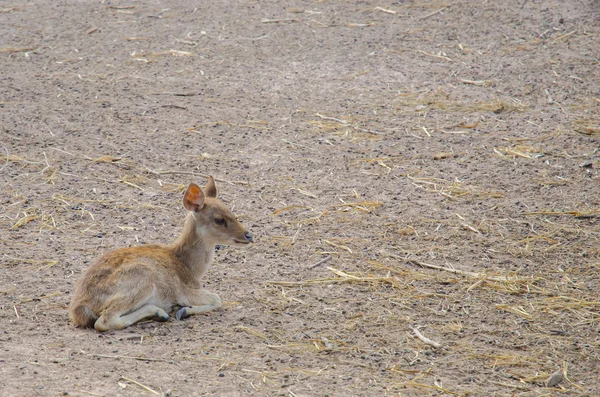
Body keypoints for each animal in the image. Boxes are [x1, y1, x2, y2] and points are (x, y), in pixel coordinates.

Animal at [69, 177, 252, 332]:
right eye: (219, 219)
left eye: (232, 213)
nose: (248, 235)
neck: (190, 268)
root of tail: (79, 308)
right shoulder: (182, 291)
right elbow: (217, 298)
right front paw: (183, 311)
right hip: (141, 279)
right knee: (104, 321)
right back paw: (161, 313)